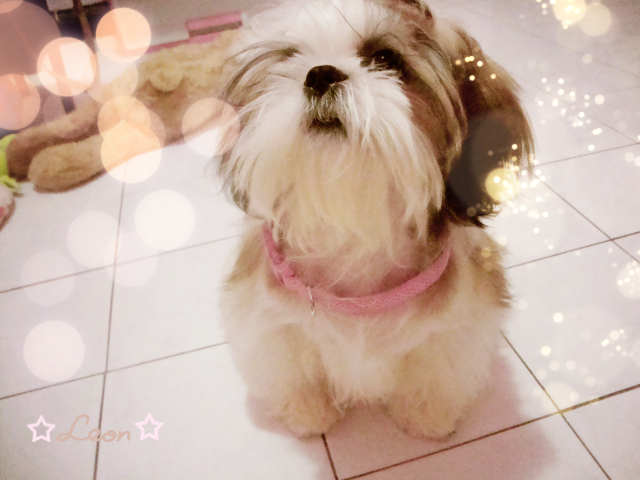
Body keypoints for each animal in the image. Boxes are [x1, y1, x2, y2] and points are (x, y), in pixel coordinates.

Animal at [218, 0, 533, 438]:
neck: (355, 223)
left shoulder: (453, 330)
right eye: (292, 58)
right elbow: (295, 369)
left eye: (386, 59)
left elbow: (436, 369)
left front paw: (425, 416)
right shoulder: (271, 326)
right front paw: (310, 412)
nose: (320, 74)